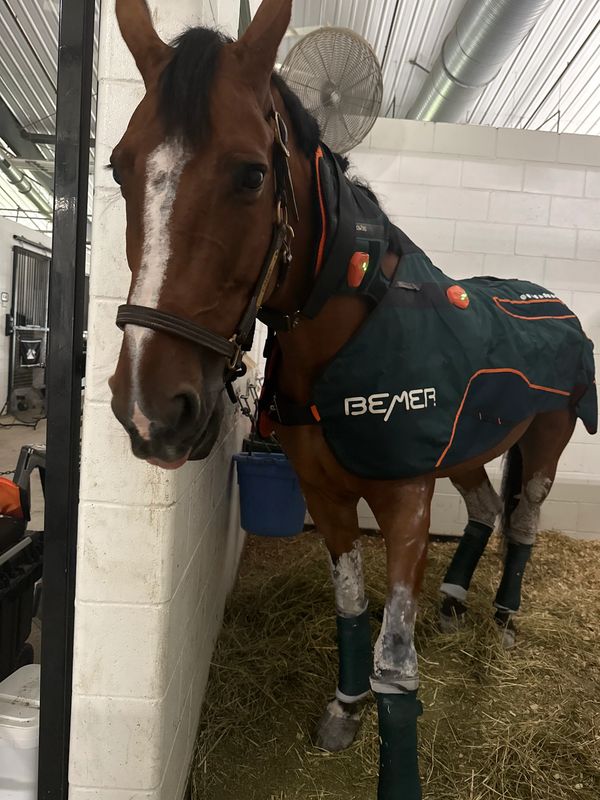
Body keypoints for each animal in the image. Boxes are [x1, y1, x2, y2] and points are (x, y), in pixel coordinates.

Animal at [108, 1, 597, 797]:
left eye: (251, 174)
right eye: (119, 168)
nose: (151, 409)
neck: (347, 332)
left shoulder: (405, 499)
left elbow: (397, 661)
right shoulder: (330, 498)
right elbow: (350, 608)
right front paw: (344, 706)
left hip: (546, 441)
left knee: (522, 521)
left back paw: (503, 617)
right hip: (466, 450)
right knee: (484, 509)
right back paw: (455, 601)